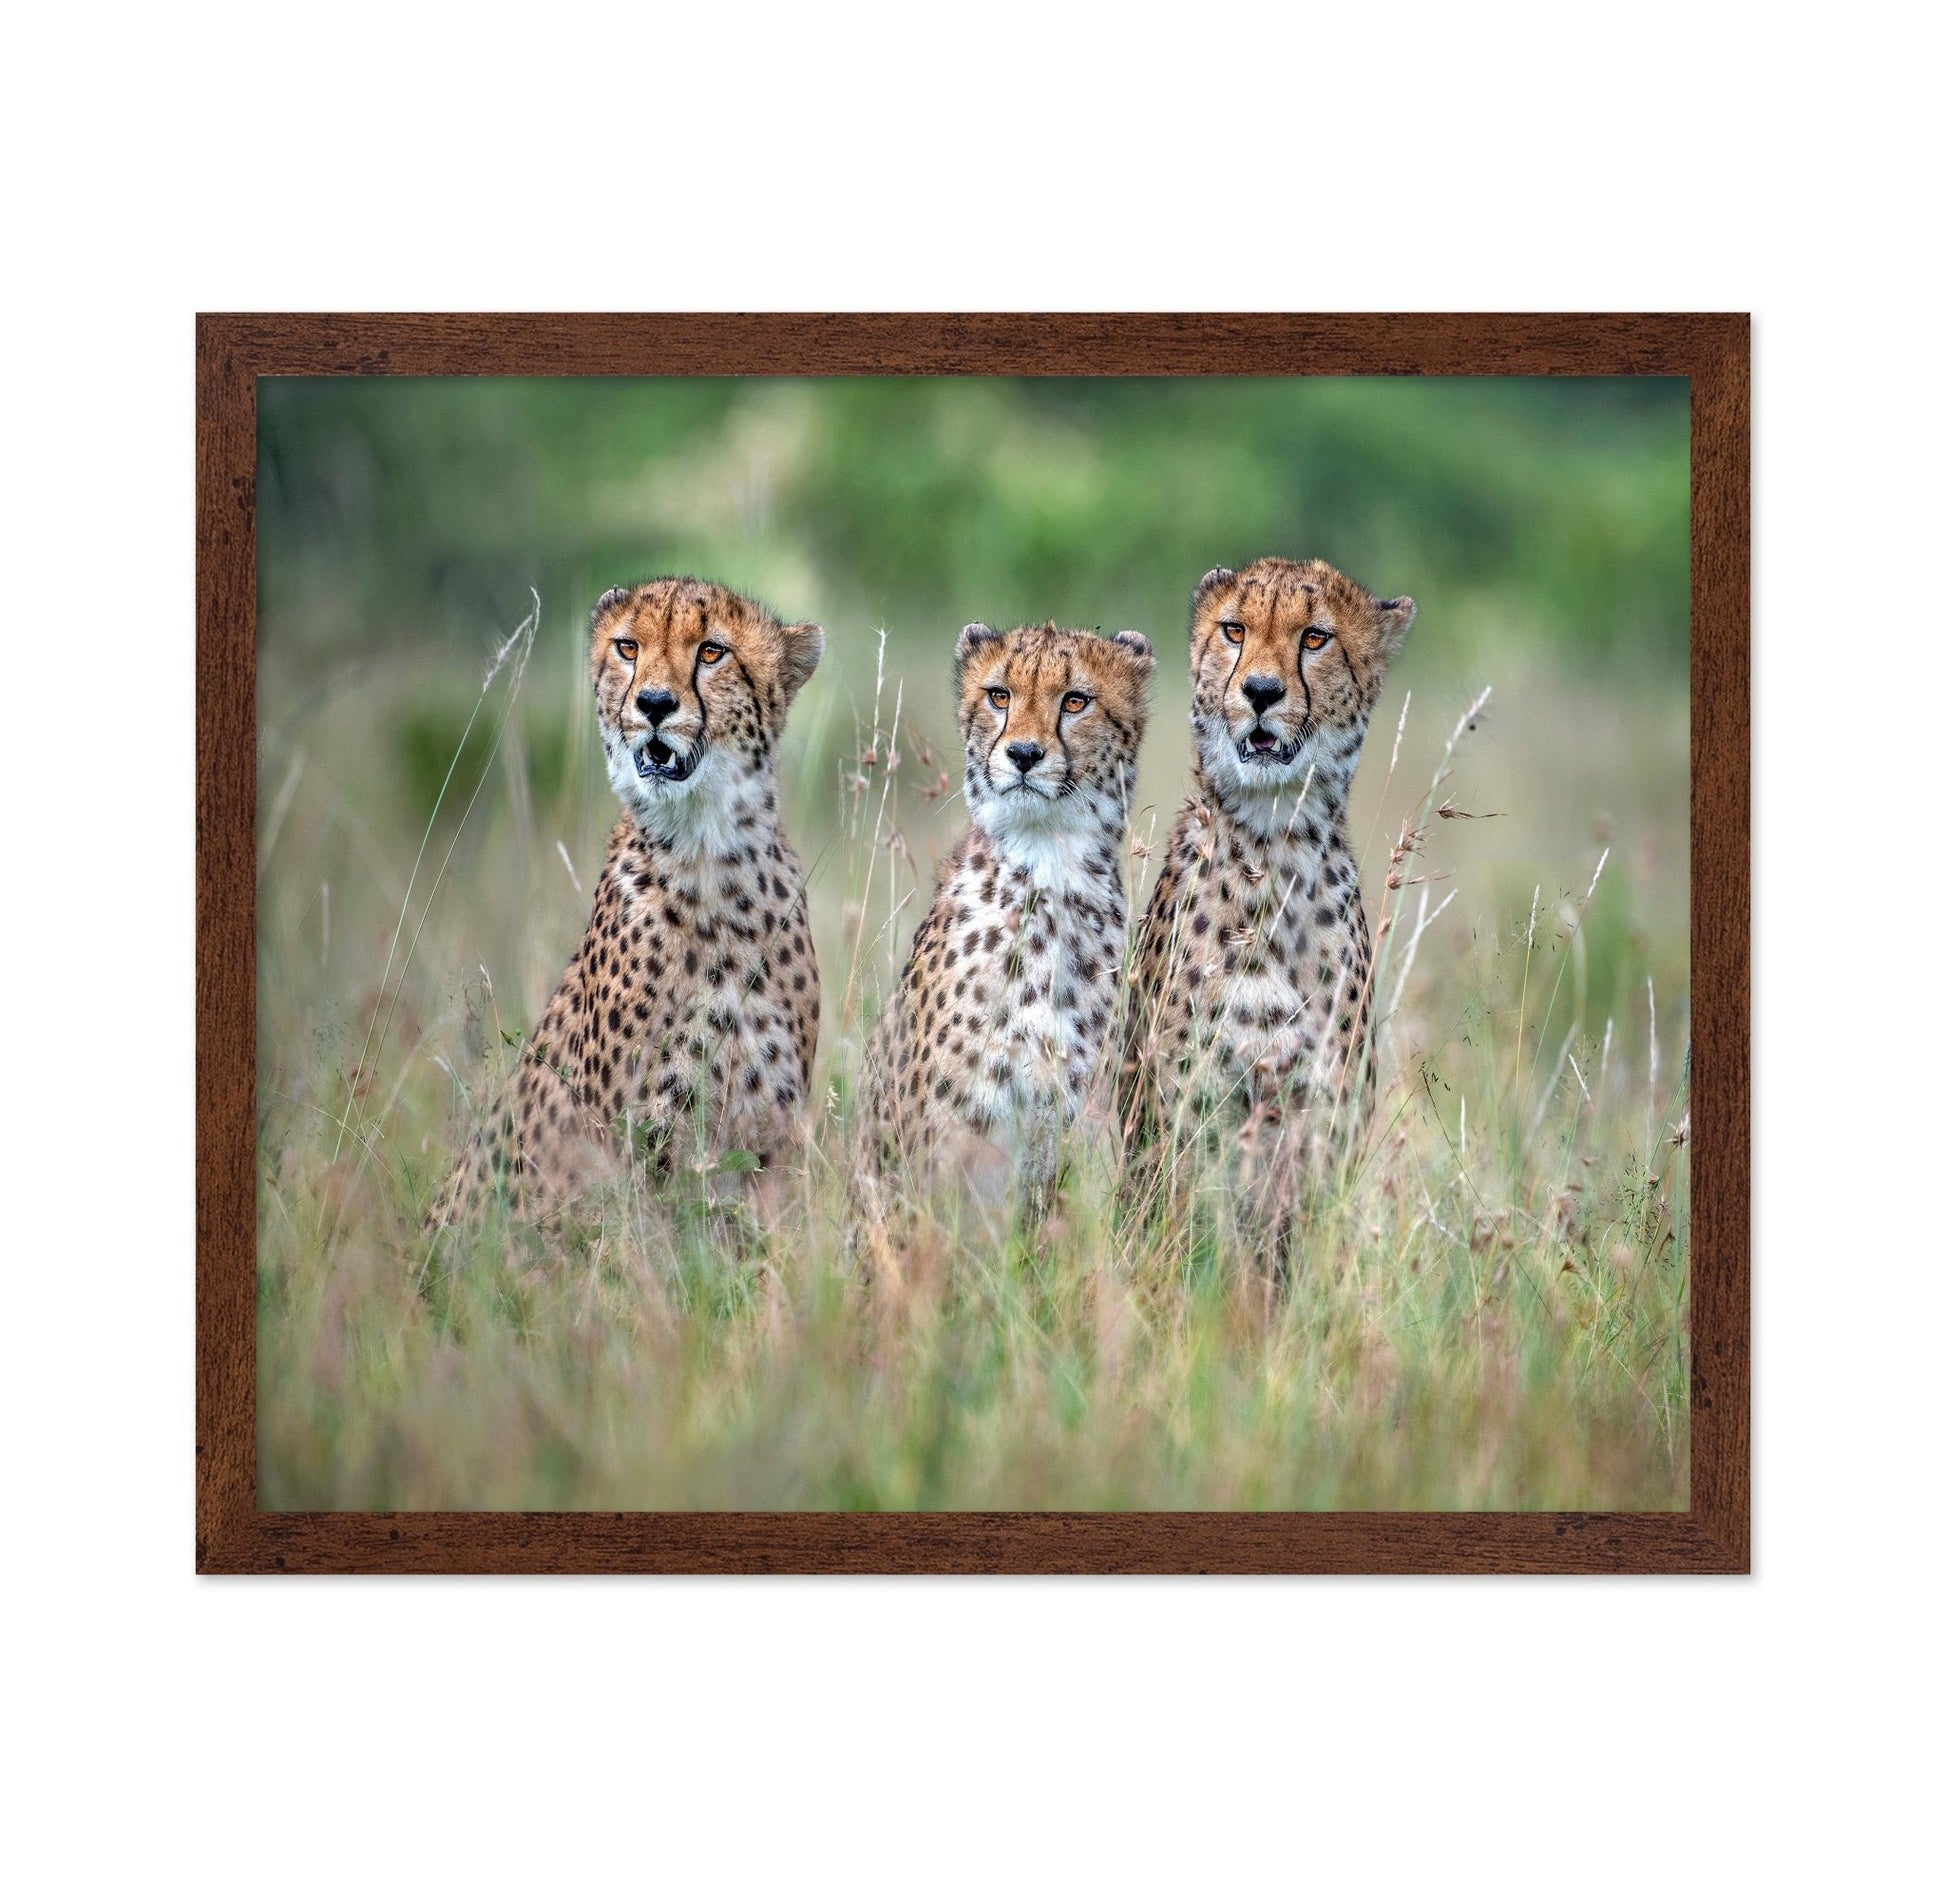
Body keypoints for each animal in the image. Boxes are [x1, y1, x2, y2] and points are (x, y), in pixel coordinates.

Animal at [430, 577, 826, 1229]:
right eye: (628, 647)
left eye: (712, 652)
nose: (655, 704)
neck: (707, 852)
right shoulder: (632, 1146)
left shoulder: (770, 1141)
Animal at [1120, 556, 1415, 1221]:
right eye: (1234, 630)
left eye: (1315, 638)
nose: (1260, 691)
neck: (1275, 841)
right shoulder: (1189, 1116)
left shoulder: (1324, 1118)